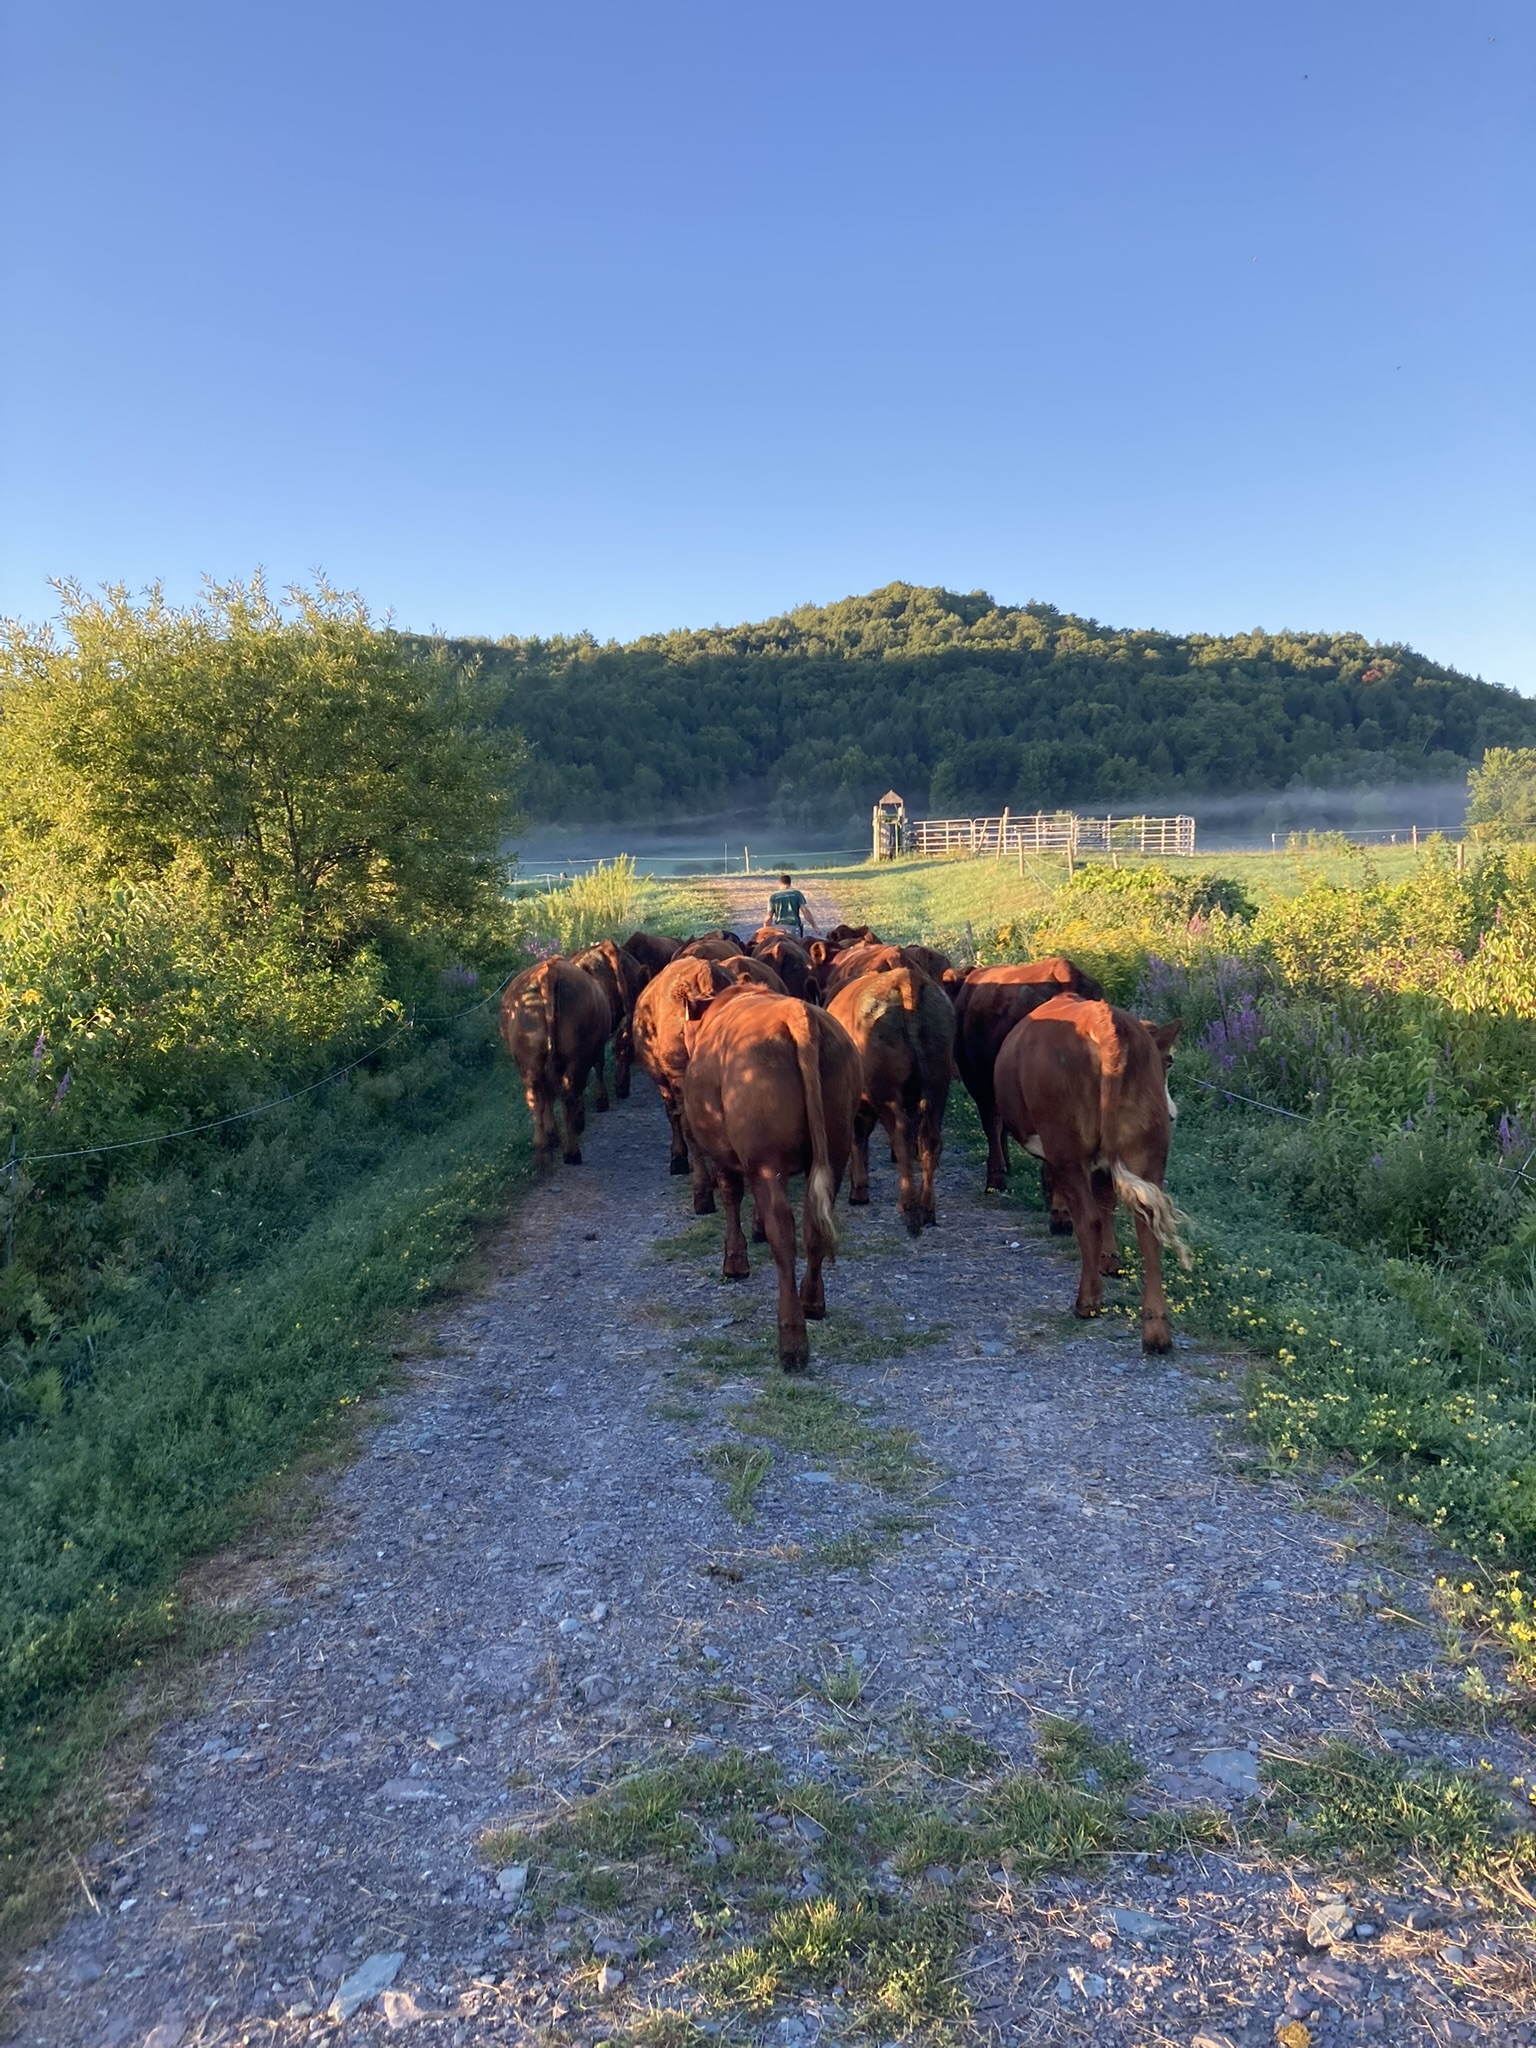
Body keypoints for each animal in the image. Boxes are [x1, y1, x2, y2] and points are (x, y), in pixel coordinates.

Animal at [499, 957, 613, 1165]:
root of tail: (548, 972)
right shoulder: (597, 1049)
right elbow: (599, 1068)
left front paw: (552, 1135)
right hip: (574, 1060)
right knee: (568, 1097)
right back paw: (572, 1152)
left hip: (531, 1064)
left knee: (537, 1099)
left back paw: (543, 1152)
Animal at [682, 987, 861, 1369]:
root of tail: (796, 1013)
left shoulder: (724, 1152)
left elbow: (731, 1195)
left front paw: (735, 1261)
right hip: (835, 1150)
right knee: (813, 1227)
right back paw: (812, 1301)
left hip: (766, 1159)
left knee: (785, 1233)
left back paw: (792, 1339)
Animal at [827, 965, 955, 1234]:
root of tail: (904, 978)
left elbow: (857, 1139)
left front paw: (859, 1190)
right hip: (938, 1086)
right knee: (930, 1140)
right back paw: (927, 1209)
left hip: (887, 1094)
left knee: (901, 1137)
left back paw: (909, 1209)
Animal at [993, 996, 1187, 1351]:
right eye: (1167, 1061)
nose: (1172, 1113)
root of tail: (1107, 1023)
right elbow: (1108, 1200)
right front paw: (1110, 1258)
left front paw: (1059, 1216)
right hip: (1148, 1148)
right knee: (1148, 1227)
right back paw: (1156, 1330)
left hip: (1066, 1145)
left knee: (1089, 1218)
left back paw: (1088, 1302)